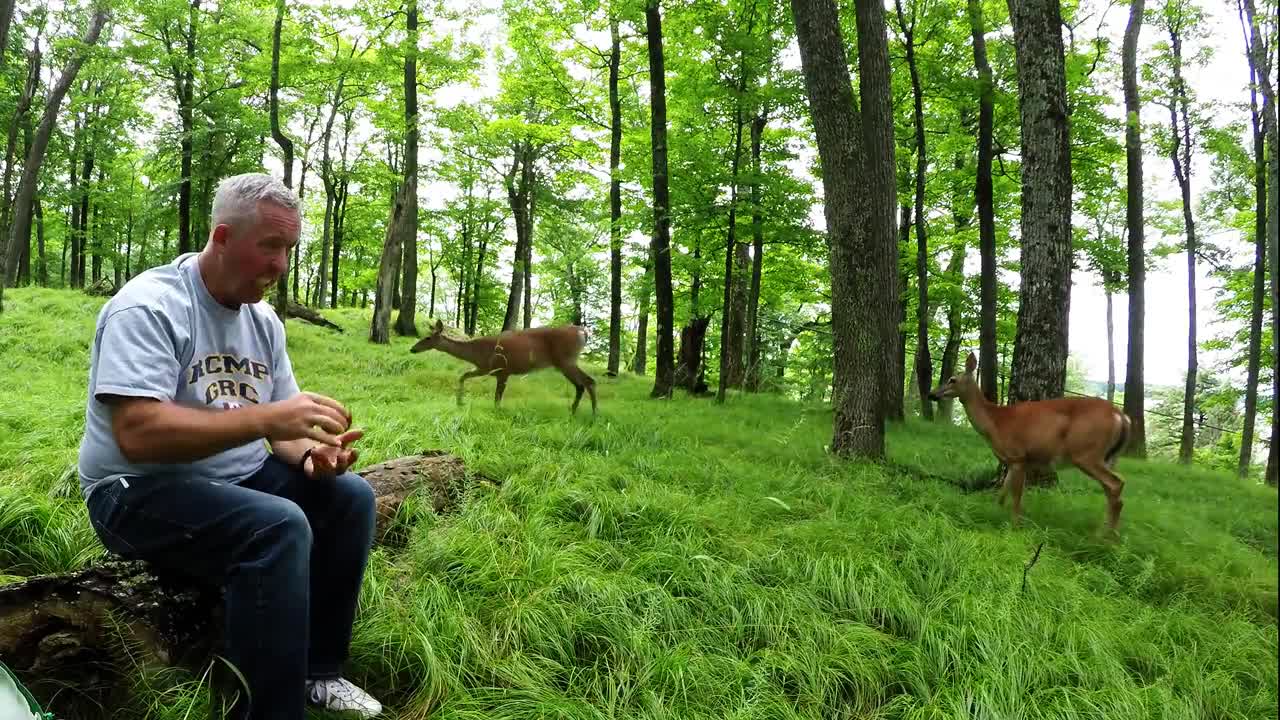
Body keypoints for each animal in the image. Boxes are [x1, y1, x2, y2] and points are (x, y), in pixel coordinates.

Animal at [409, 319, 599, 415]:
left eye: (427, 338)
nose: (412, 349)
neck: (476, 352)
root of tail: (582, 332)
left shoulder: (503, 370)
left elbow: (497, 397)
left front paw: (496, 413)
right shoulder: (485, 369)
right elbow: (463, 376)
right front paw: (460, 402)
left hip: (566, 360)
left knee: (589, 381)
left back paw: (594, 414)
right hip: (564, 363)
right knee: (581, 384)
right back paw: (573, 411)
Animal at [931, 351, 1131, 530]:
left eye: (952, 379)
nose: (932, 394)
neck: (995, 422)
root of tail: (1121, 416)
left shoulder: (1018, 456)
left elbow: (1016, 497)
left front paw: (1015, 526)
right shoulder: (1013, 460)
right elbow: (1003, 493)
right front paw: (995, 513)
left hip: (1086, 453)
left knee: (1116, 484)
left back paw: (1107, 538)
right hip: (1107, 457)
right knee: (1112, 490)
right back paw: (1106, 532)